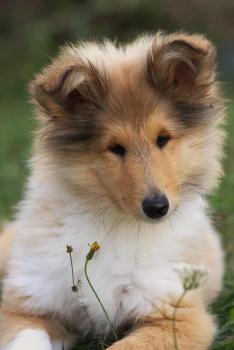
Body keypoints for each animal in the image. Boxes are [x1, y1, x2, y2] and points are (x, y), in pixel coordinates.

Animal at [0, 31, 226, 348]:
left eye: (163, 138)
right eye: (115, 148)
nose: (157, 208)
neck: (114, 224)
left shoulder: (179, 317)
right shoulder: (27, 303)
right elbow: (27, 338)